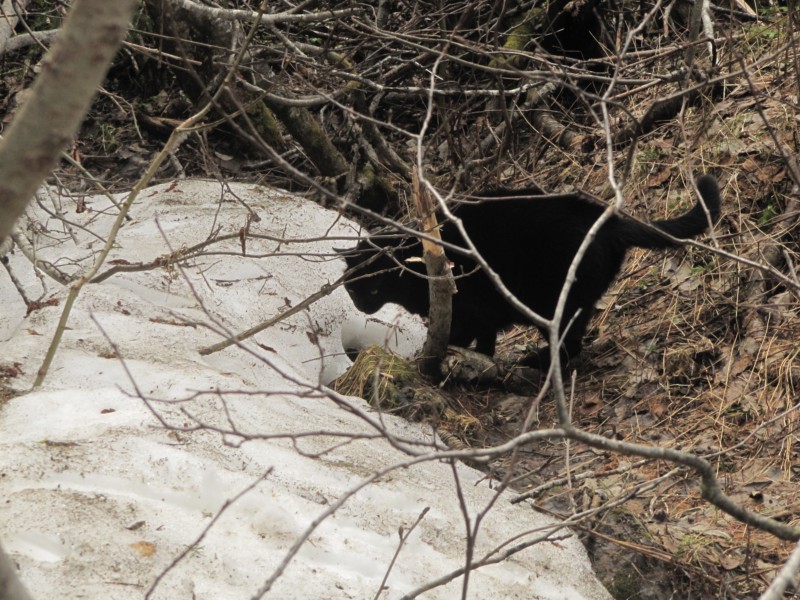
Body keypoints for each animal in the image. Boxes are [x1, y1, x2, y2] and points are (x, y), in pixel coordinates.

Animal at [340, 176, 720, 368]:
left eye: (371, 290)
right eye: (353, 290)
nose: (359, 306)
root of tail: (606, 220)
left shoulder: (466, 308)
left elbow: (457, 336)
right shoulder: (484, 314)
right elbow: (486, 341)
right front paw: (482, 360)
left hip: (553, 300)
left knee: (569, 345)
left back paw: (535, 365)